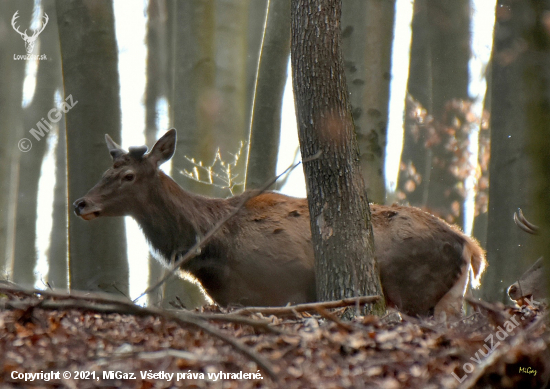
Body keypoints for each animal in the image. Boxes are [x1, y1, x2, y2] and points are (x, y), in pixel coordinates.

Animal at [73, 129, 488, 316]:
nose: (80, 203)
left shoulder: (270, 289)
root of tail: (470, 247)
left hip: (415, 291)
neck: (210, 248)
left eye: (127, 176)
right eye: (106, 170)